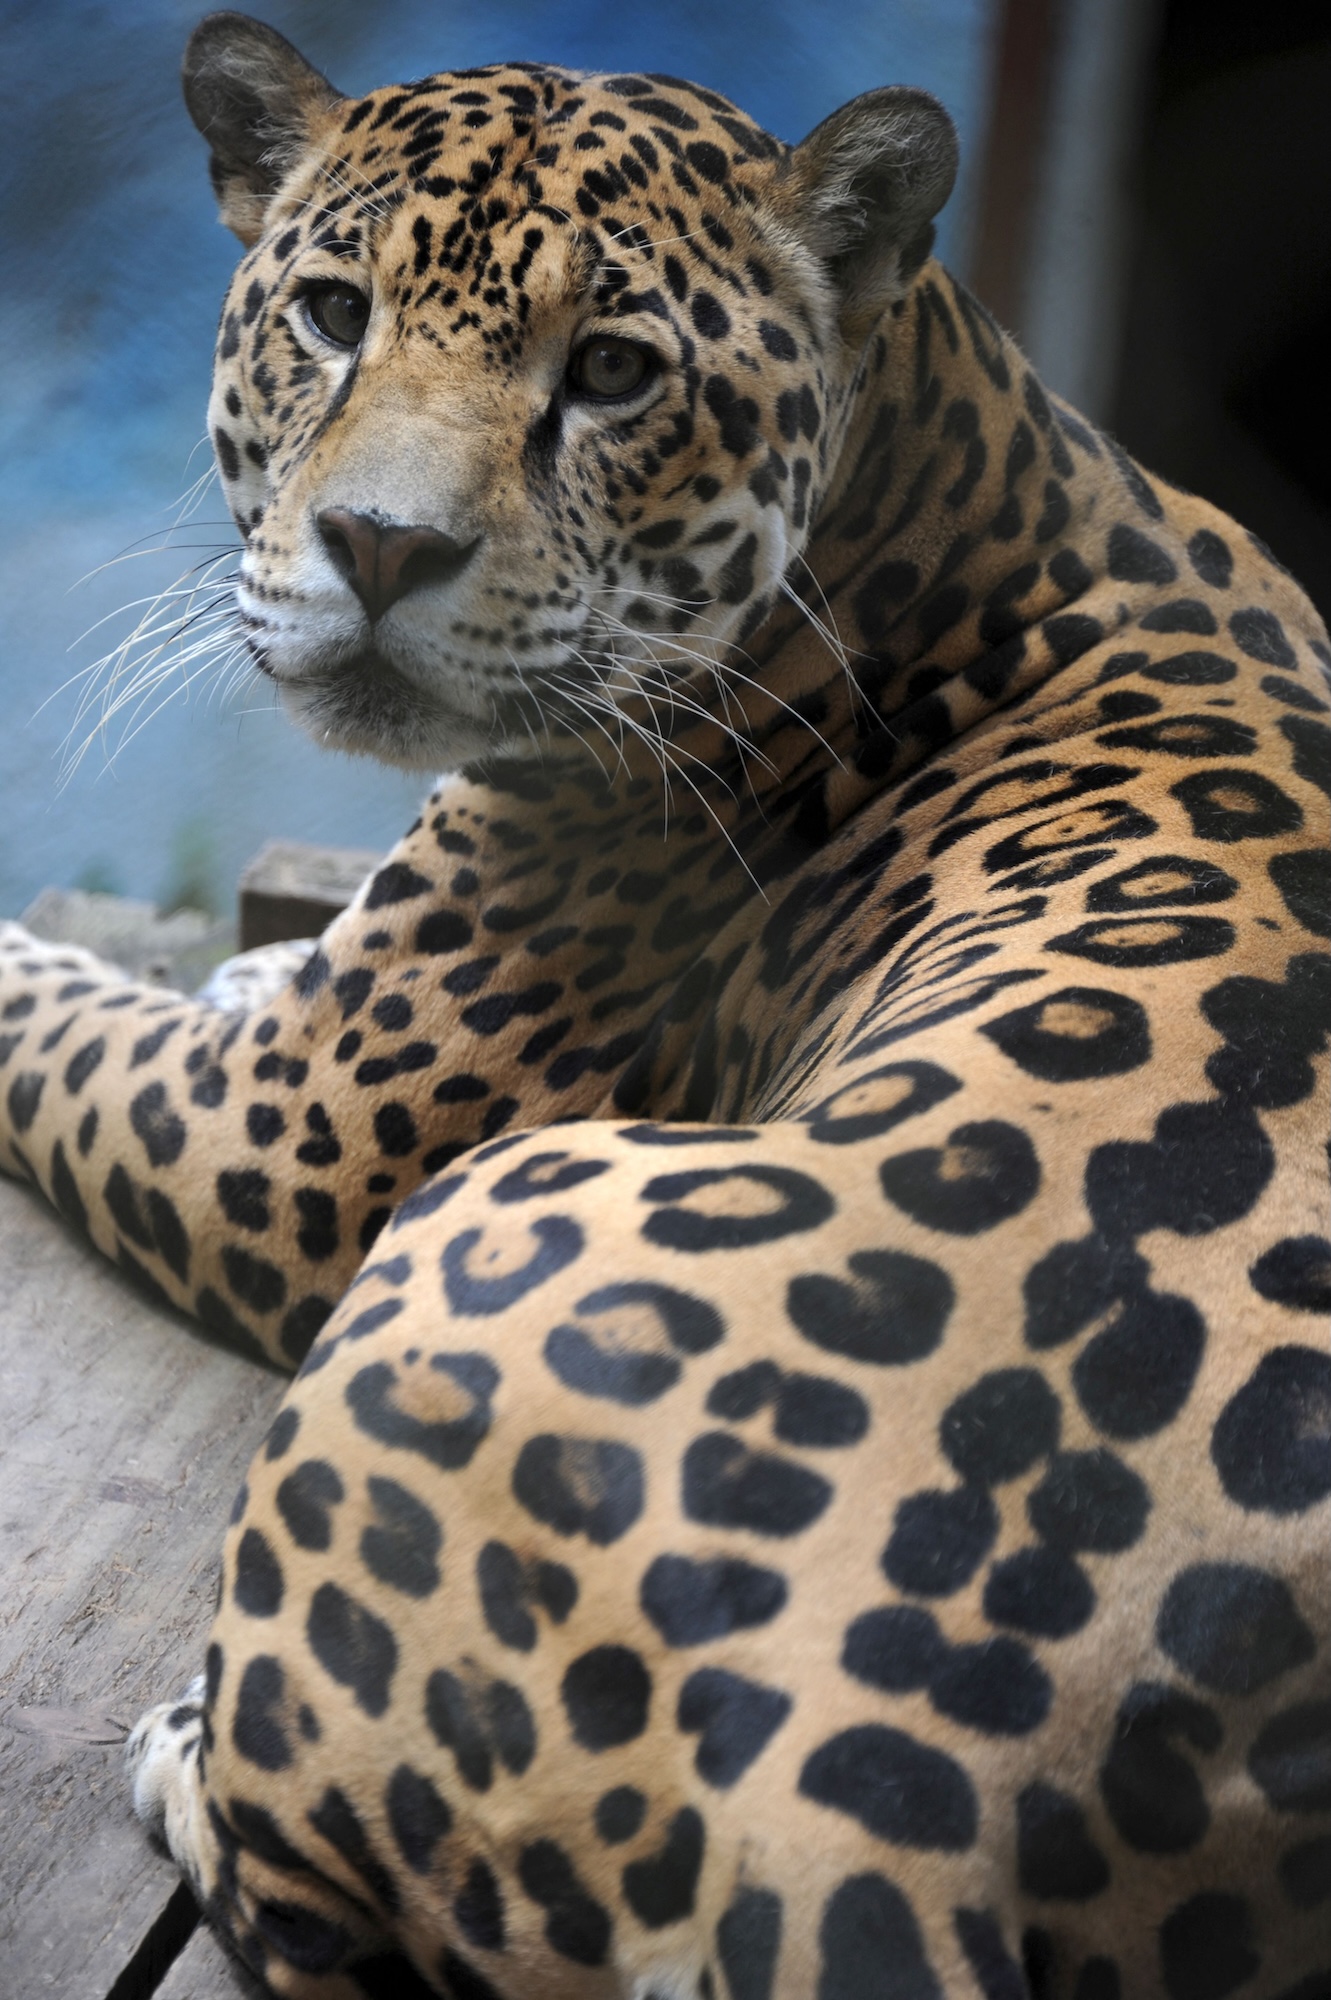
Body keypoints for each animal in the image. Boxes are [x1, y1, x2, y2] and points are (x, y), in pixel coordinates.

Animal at [1, 11, 1328, 1997]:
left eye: (613, 372)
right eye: (331, 313)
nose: (377, 547)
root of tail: (880, 1808)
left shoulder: (288, 1137)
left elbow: (57, 1020)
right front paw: (248, 950)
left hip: (464, 1215)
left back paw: (178, 1746)